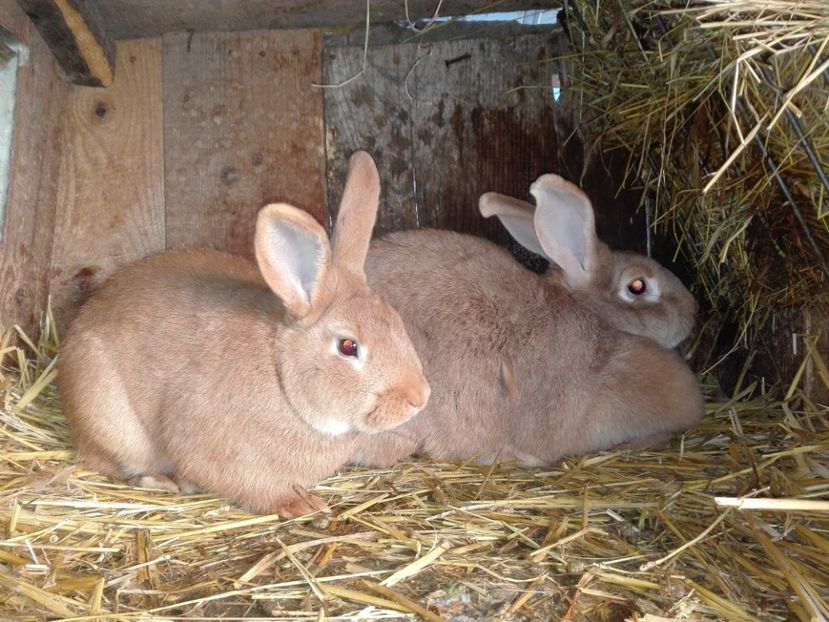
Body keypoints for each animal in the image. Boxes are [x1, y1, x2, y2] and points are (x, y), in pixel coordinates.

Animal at [58, 154, 430, 520]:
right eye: (348, 346)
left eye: (396, 320)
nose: (419, 398)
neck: (282, 378)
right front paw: (299, 505)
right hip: (108, 418)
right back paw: (163, 480)